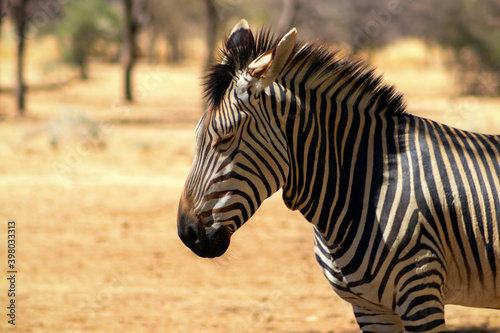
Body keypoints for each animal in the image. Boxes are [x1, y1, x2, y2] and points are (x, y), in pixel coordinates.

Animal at [177, 19, 500, 330]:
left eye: (226, 138)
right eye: (195, 136)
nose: (186, 233)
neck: (363, 186)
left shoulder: (421, 293)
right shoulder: (370, 308)